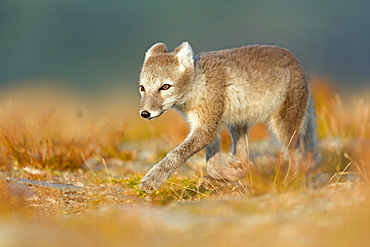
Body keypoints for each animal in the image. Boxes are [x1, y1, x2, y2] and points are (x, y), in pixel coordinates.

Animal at [137, 41, 320, 194]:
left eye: (165, 86)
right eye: (142, 88)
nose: (145, 113)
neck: (199, 85)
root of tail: (296, 61)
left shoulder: (207, 130)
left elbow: (175, 154)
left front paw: (152, 180)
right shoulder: (211, 128)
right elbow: (212, 165)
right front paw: (230, 174)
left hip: (284, 127)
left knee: (299, 156)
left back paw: (289, 182)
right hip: (237, 125)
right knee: (243, 157)